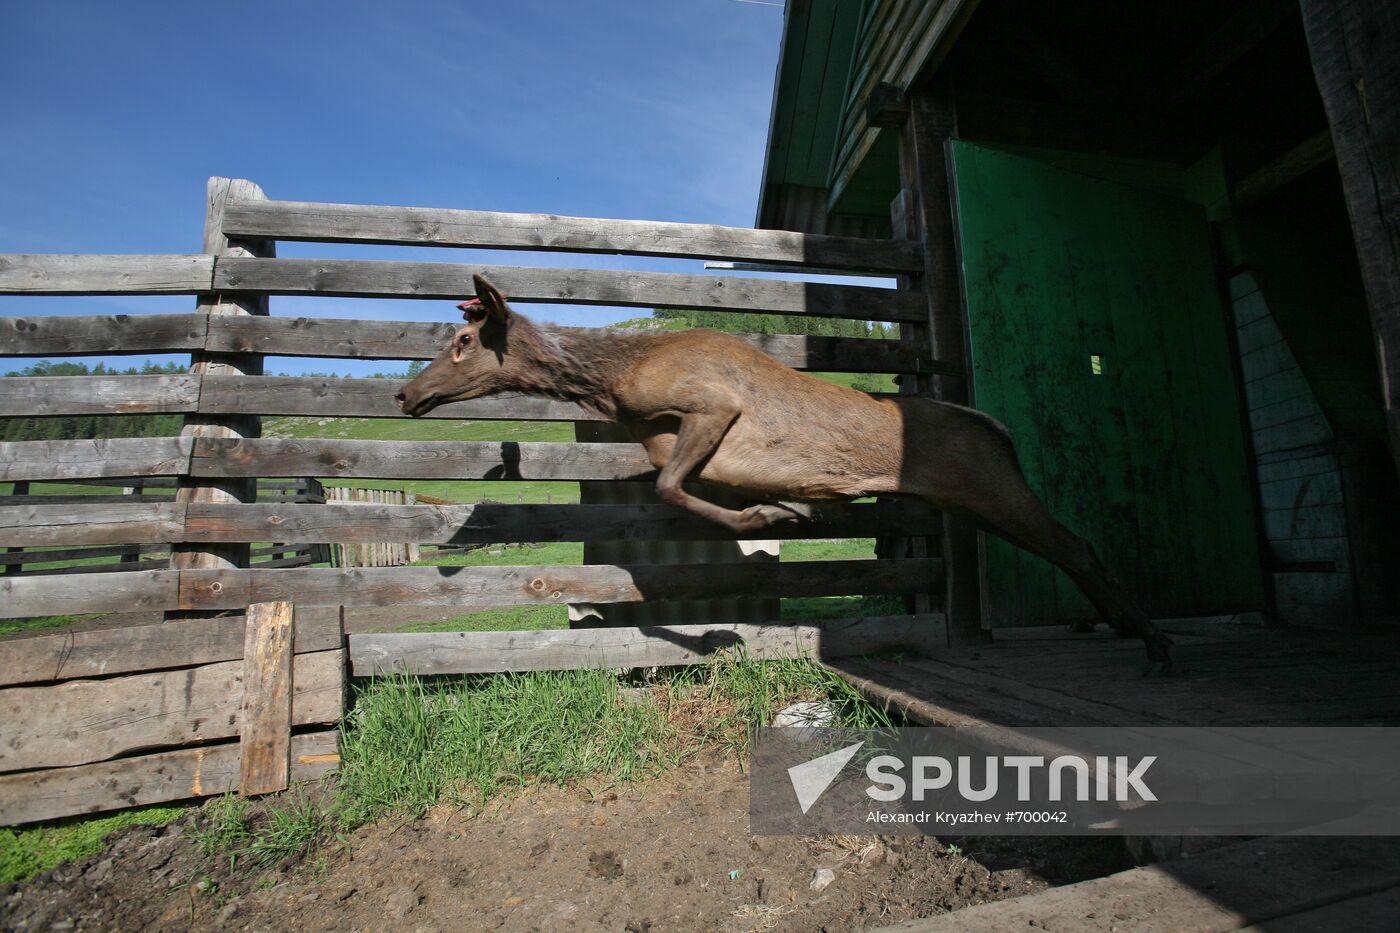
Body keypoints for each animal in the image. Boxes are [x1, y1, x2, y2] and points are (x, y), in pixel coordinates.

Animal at [400, 270, 1176, 669]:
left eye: (464, 339)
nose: (406, 394)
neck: (611, 386)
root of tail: (998, 427)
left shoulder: (713, 404)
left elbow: (674, 488)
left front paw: (770, 514)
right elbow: (671, 487)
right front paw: (786, 509)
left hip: (990, 482)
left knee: (1076, 542)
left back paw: (1155, 639)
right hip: (975, 498)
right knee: (1065, 547)